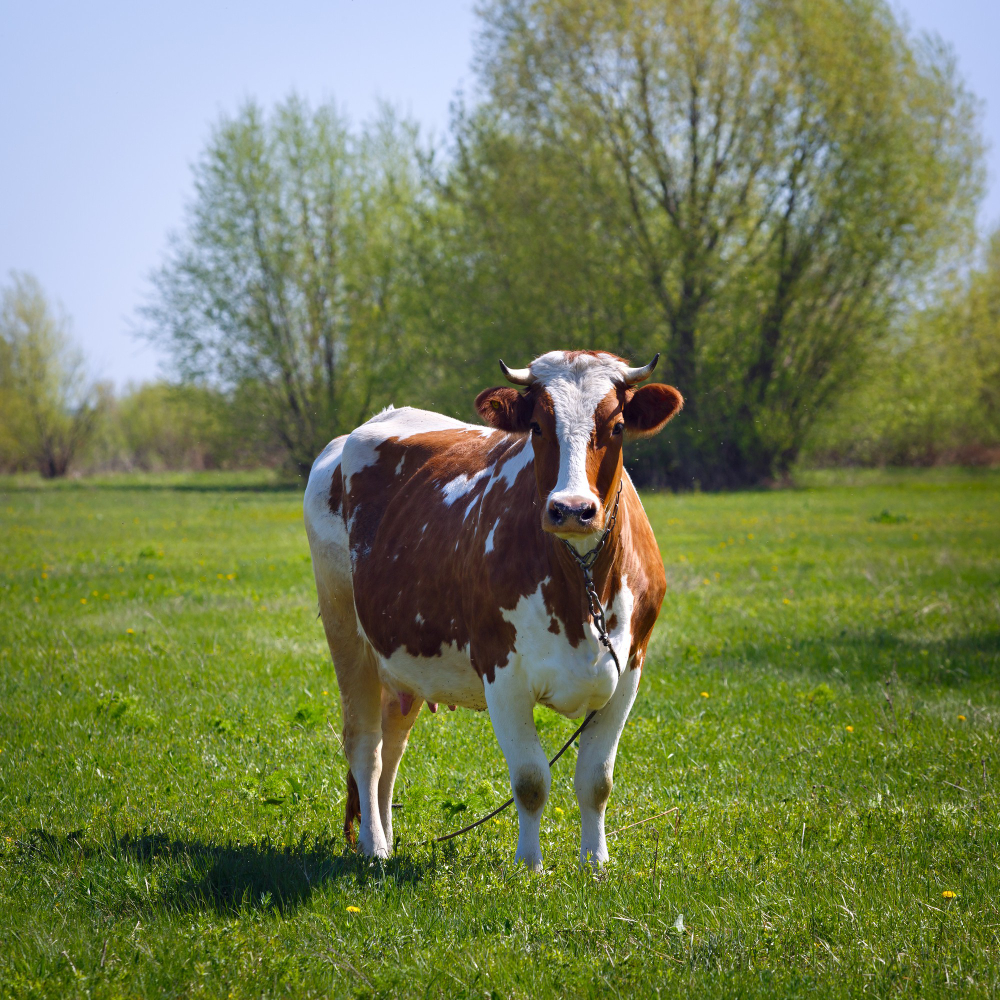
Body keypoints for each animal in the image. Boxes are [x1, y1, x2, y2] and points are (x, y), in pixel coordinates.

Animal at [303, 350, 683, 869]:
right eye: (538, 426)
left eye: (619, 425)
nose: (572, 509)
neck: (582, 581)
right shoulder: (503, 673)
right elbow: (531, 780)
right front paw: (530, 866)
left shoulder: (628, 671)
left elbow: (596, 781)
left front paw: (596, 863)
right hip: (345, 631)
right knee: (366, 746)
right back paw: (374, 847)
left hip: (402, 661)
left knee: (391, 750)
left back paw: (387, 837)